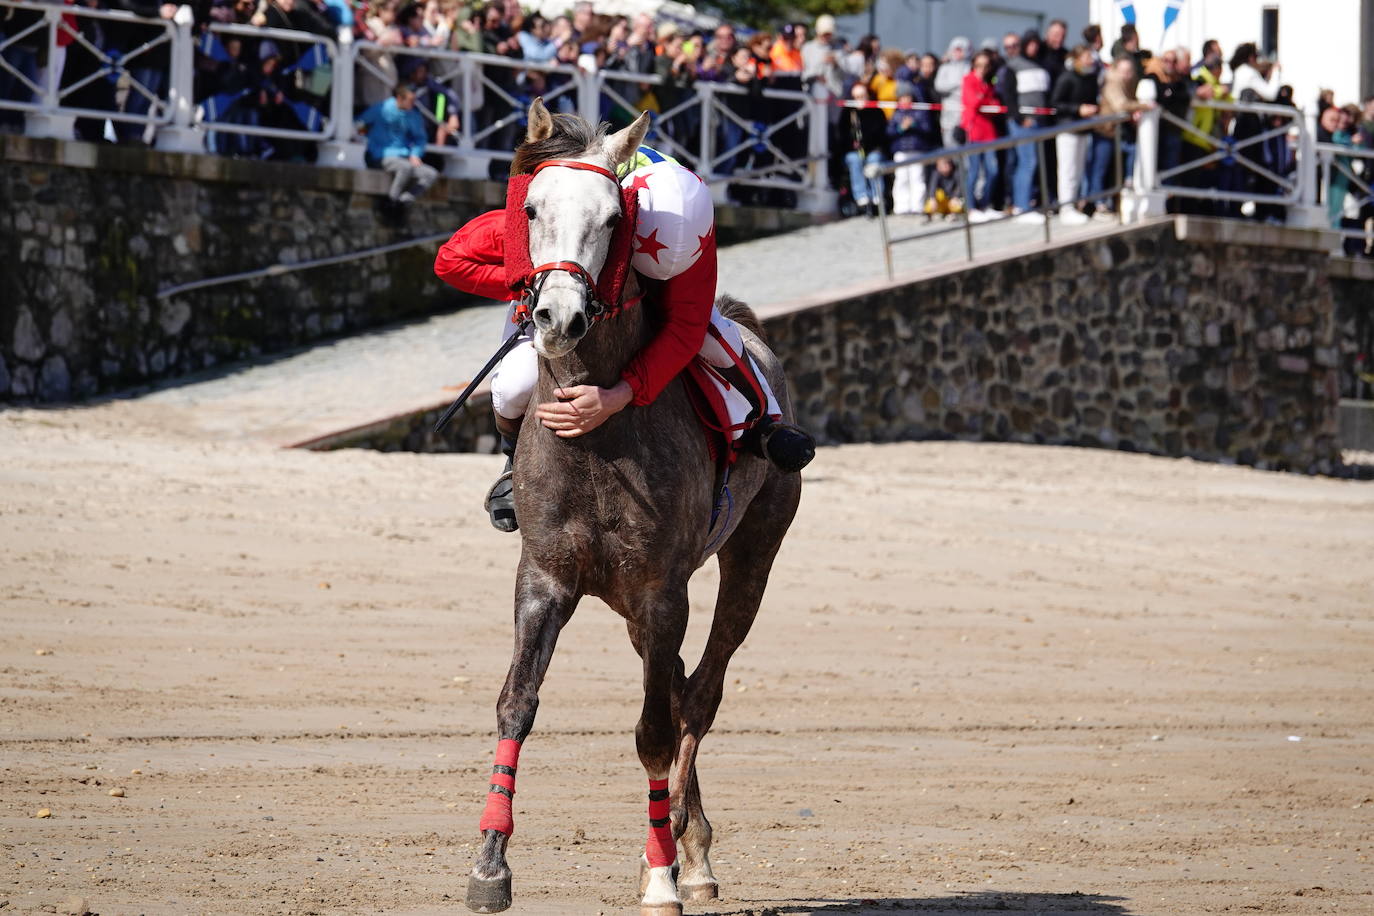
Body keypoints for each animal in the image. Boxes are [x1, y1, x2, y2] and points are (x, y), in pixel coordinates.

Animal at [464, 96, 802, 911]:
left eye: (615, 219)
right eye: (529, 208)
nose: (556, 319)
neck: (596, 439)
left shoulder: (658, 589)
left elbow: (653, 730)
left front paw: (660, 872)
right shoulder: (547, 577)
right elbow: (516, 701)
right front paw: (489, 863)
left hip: (751, 555)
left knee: (699, 693)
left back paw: (690, 847)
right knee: (677, 684)